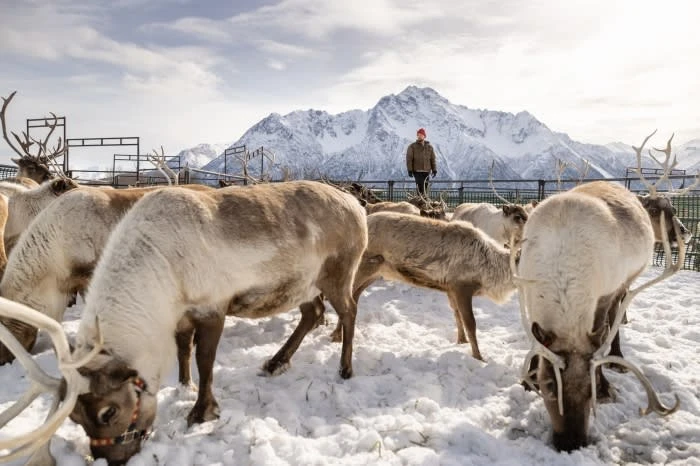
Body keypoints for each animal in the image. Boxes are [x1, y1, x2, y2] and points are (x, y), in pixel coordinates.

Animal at [0, 180, 368, 466]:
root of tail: (357, 205)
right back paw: (276, 362)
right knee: (312, 314)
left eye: (109, 412)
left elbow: (205, 360)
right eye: (75, 417)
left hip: (338, 272)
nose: (112, 460)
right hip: (303, 284)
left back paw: (345, 368)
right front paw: (182, 385)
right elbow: (182, 350)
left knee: (349, 310)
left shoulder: (213, 307)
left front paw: (201, 411)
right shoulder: (180, 315)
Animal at [330, 211, 517, 361]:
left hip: (376, 272)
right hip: (363, 266)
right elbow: (471, 323)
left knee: (354, 295)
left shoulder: (450, 288)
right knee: (345, 296)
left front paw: (461, 341)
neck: (490, 269)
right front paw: (479, 357)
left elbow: (456, 315)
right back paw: (336, 335)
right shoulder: (462, 286)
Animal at [513, 130, 695, 452]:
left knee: (616, 316)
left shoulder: (602, 296)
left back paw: (618, 355)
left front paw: (607, 384)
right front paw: (527, 377)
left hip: (626, 282)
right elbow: (536, 341)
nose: (571, 442)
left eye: (592, 392)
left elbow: (600, 334)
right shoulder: (527, 290)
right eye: (548, 385)